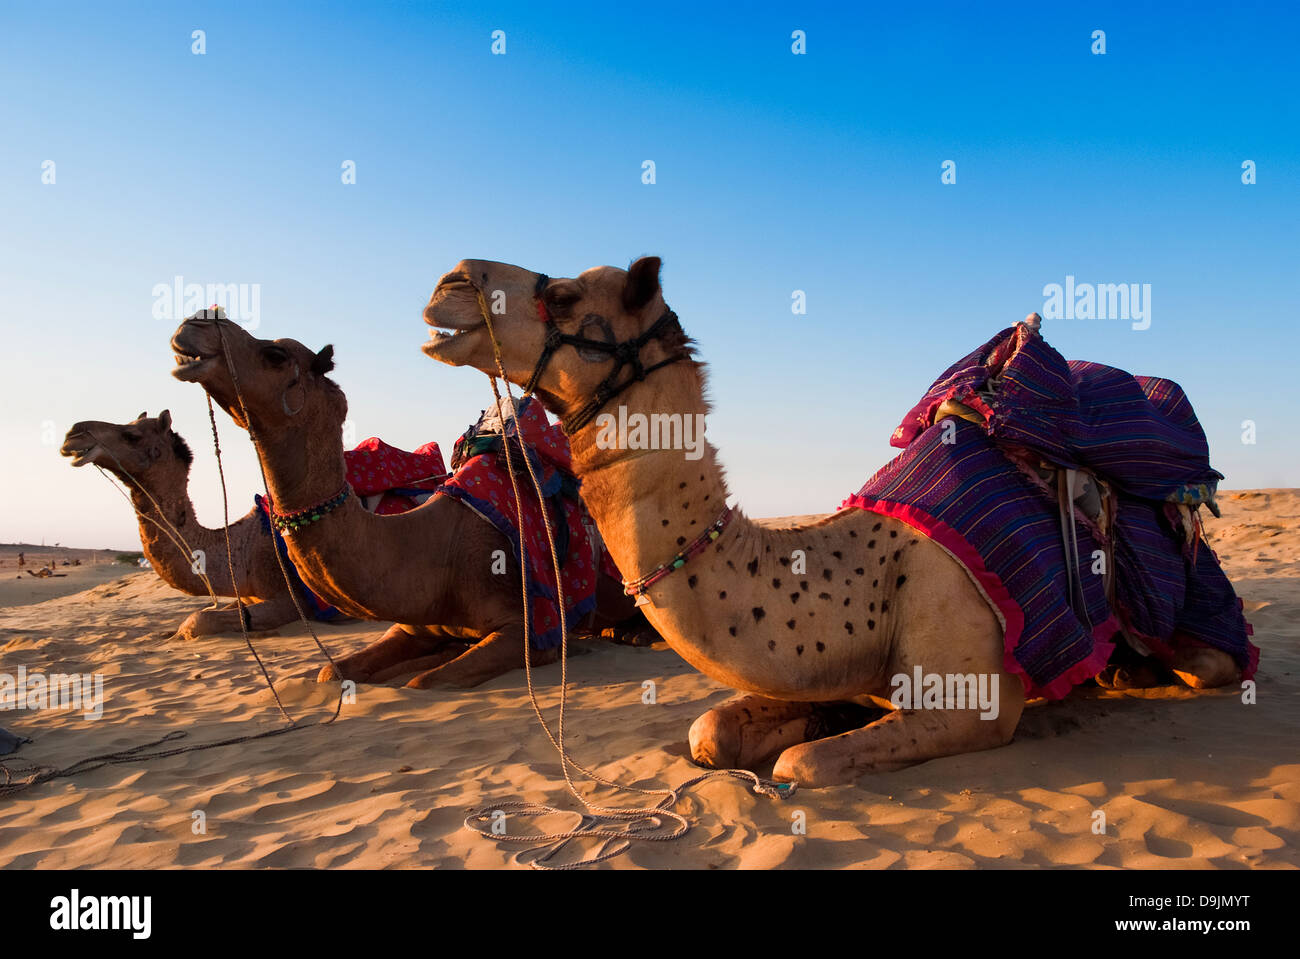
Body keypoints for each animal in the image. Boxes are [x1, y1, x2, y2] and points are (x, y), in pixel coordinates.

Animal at [61, 408, 299, 634]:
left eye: (132, 435)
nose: (72, 435)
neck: (243, 553)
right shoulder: (247, 597)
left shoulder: (290, 598)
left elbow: (196, 620)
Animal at [170, 310, 650, 686]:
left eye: (275, 355)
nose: (194, 323)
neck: (436, 549)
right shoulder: (413, 625)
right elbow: (332, 671)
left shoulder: (529, 629)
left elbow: (428, 681)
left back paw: (627, 634)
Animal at [421, 255, 1253, 784]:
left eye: (561, 294)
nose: (448, 282)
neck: (863, 586)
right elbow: (710, 732)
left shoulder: (975, 706)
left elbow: (801, 764)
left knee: (1207, 661)